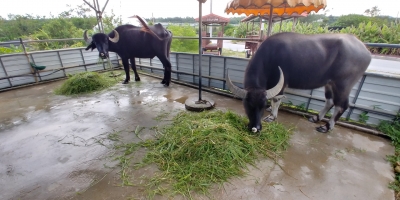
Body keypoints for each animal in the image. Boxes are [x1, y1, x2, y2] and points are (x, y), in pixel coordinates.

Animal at [228, 31, 372, 133]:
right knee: (330, 101)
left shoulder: (280, 82)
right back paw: (316, 118)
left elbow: (276, 99)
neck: (269, 57)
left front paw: (272, 116)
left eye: (262, 106)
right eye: (247, 106)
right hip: (329, 83)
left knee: (341, 105)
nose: (256, 128)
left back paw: (326, 127)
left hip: (343, 84)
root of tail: (366, 51)